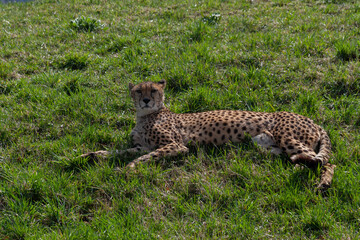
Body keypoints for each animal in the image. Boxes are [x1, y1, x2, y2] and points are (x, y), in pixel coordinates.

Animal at [80, 80, 336, 189]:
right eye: (137, 91)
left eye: (153, 90)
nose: (145, 100)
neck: (146, 115)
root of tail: (312, 119)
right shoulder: (141, 145)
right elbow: (119, 151)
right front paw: (91, 155)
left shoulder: (175, 146)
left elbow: (143, 157)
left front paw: (128, 169)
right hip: (267, 144)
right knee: (307, 159)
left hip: (286, 136)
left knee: (326, 162)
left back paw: (322, 183)